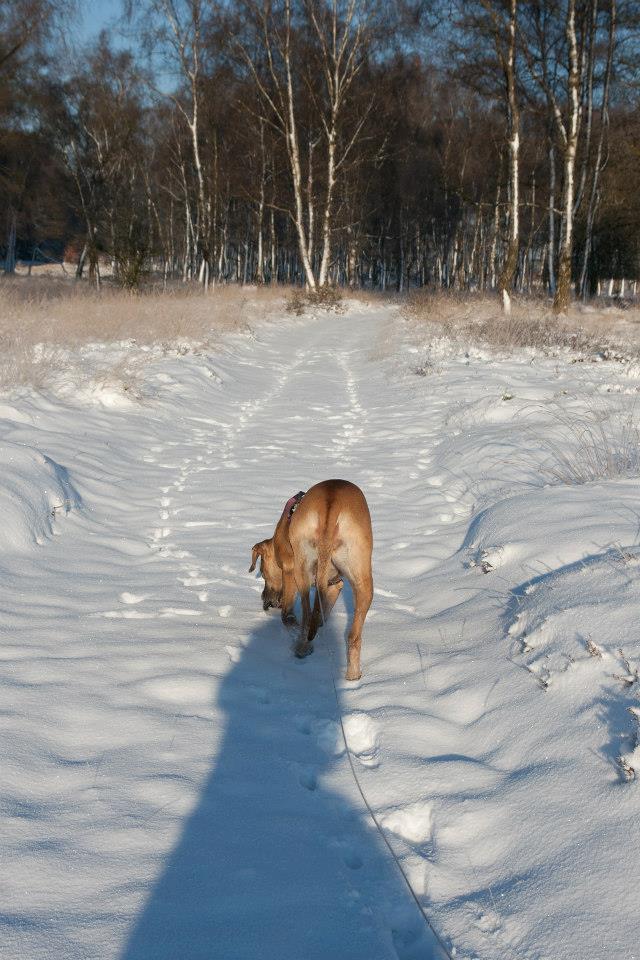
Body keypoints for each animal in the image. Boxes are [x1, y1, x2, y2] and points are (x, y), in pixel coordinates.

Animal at [249, 479, 373, 681]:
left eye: (263, 573)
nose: (265, 600)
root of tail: (332, 501)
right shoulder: (333, 585)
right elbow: (322, 613)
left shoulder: (288, 570)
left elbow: (289, 615)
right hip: (362, 573)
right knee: (352, 635)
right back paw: (353, 677)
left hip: (301, 567)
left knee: (304, 617)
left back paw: (301, 648)